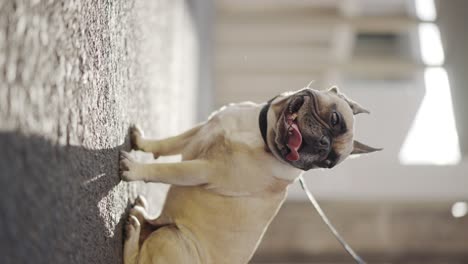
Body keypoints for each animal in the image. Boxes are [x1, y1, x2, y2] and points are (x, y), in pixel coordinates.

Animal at [119, 85, 378, 262]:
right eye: (335, 119)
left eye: (328, 163)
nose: (323, 145)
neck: (262, 134)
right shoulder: (198, 132)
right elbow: (167, 144)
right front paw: (141, 142)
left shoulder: (205, 170)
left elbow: (168, 169)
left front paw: (135, 169)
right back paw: (141, 216)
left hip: (171, 237)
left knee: (135, 260)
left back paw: (133, 229)